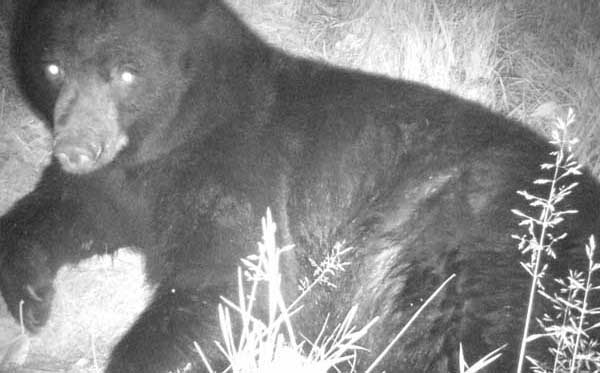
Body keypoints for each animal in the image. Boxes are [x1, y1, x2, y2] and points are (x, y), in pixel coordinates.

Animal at [1, 0, 600, 370]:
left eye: (127, 72)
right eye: (52, 68)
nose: (76, 147)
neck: (170, 139)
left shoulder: (242, 168)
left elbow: (234, 282)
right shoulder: (123, 181)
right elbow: (62, 207)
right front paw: (32, 300)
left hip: (488, 242)